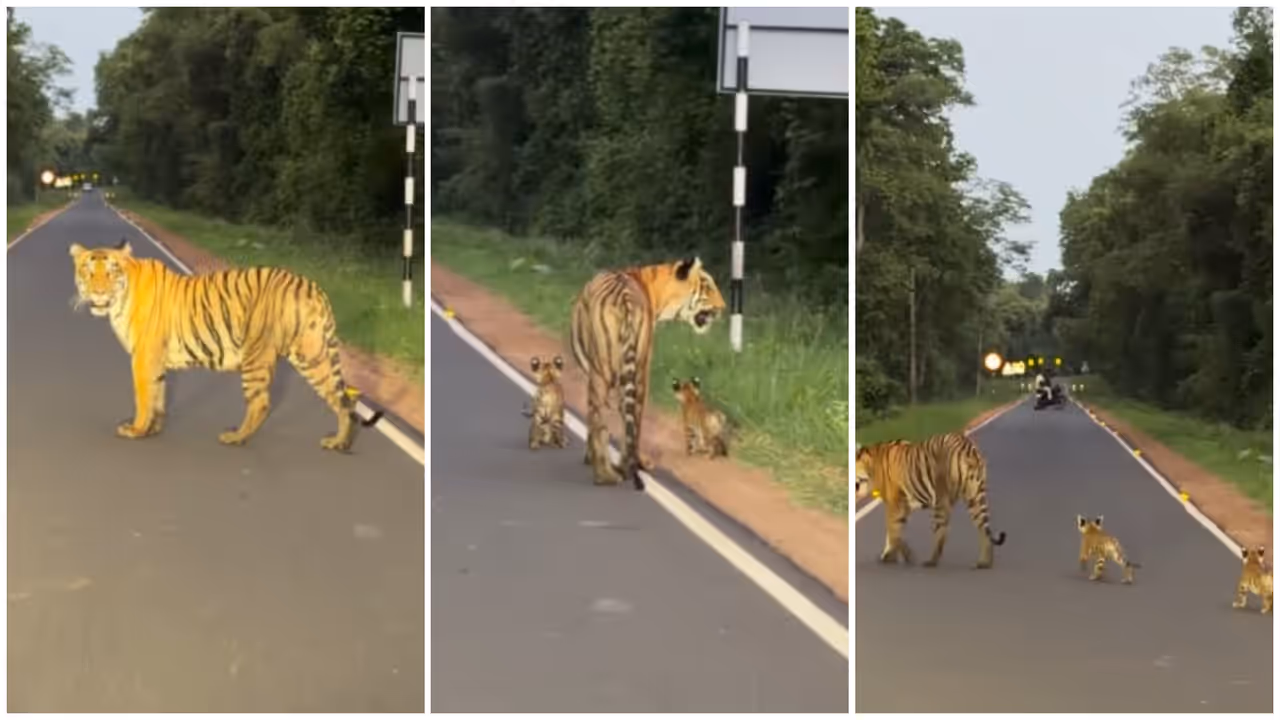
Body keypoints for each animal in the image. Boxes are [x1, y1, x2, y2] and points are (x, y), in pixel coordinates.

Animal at [69, 239, 381, 451]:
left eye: (111, 272)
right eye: (88, 272)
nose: (98, 293)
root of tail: (312, 286)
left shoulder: (143, 357)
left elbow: (144, 397)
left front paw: (135, 430)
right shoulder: (154, 360)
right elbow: (158, 394)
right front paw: (153, 429)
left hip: (258, 355)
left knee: (261, 402)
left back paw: (235, 437)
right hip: (313, 354)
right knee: (341, 398)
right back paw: (339, 442)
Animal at [569, 256, 725, 490]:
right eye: (707, 286)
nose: (724, 307)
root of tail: (624, 298)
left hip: (604, 372)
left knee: (601, 422)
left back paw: (605, 474)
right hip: (633, 369)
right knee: (628, 419)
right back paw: (621, 469)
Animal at [854, 434, 1008, 569]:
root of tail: (968, 448)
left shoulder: (896, 504)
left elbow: (893, 531)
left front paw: (898, 555)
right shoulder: (903, 507)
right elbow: (894, 533)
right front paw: (890, 555)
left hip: (941, 499)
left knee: (942, 532)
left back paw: (931, 562)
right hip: (975, 497)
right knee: (983, 528)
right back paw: (984, 563)